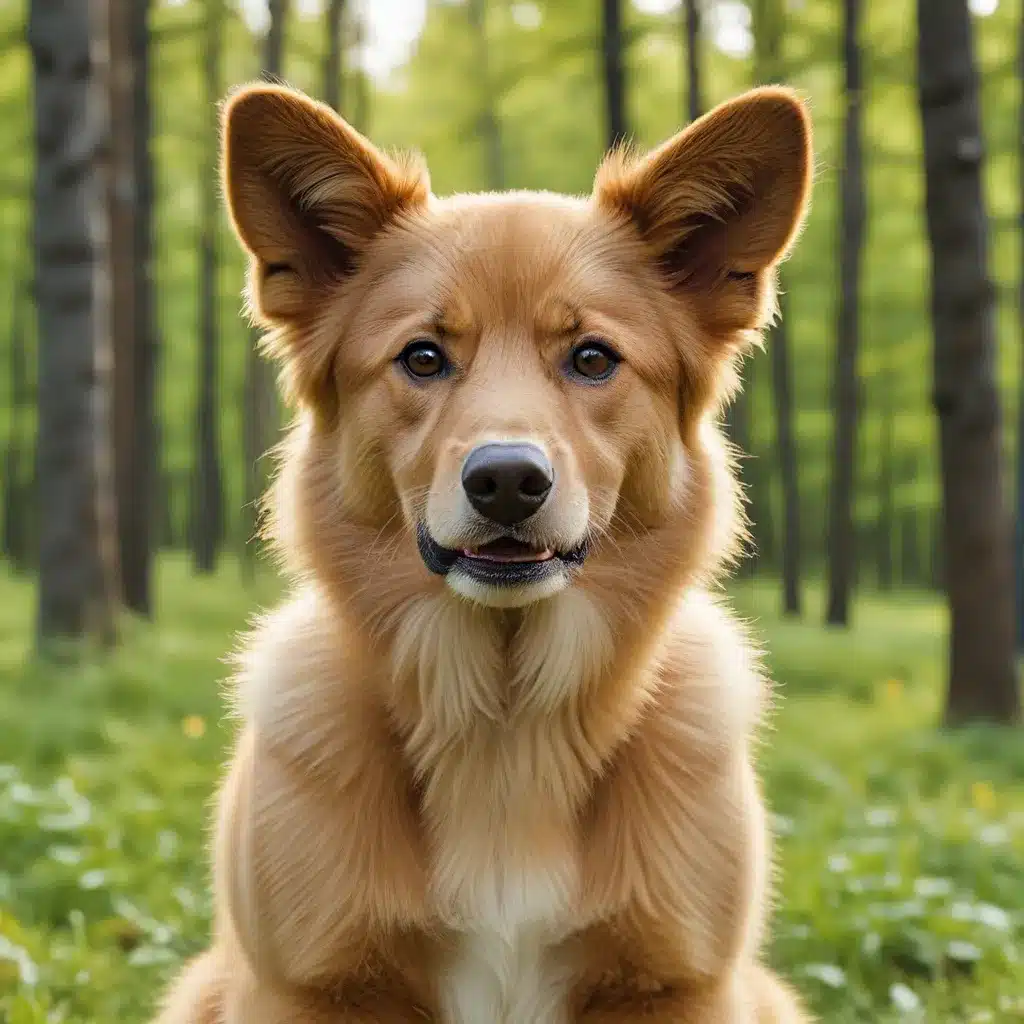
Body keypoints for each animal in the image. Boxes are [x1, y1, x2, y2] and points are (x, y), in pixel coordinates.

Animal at [149, 81, 815, 1024]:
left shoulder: (676, 984)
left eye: (592, 359)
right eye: (423, 358)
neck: (505, 728)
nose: (506, 481)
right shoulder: (310, 985)